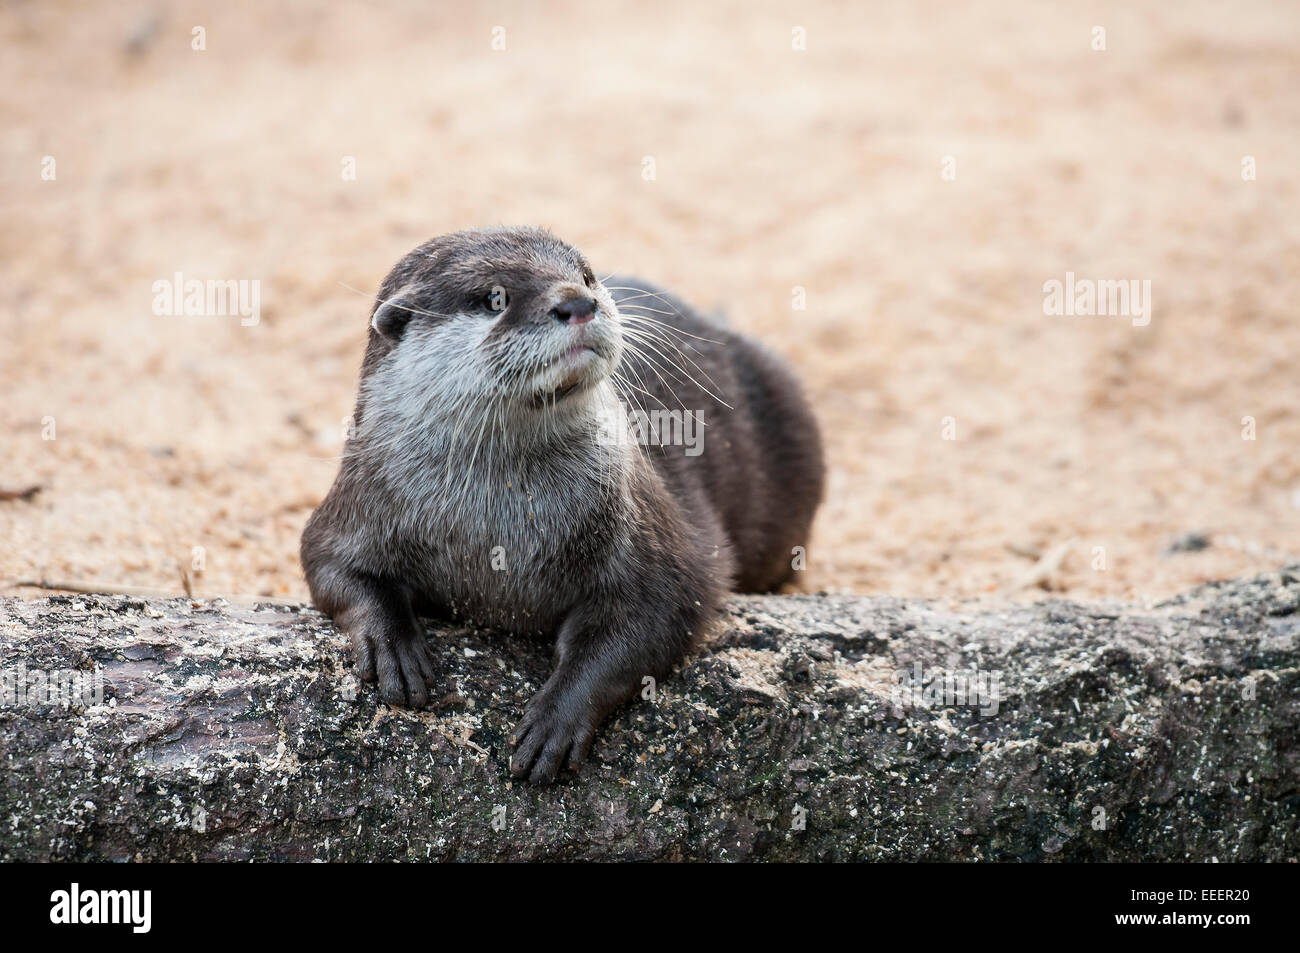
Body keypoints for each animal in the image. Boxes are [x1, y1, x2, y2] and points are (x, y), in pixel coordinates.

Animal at [304, 228, 821, 780]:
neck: (497, 527)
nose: (579, 302)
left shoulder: (653, 538)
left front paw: (557, 717)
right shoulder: (360, 499)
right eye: (494, 298)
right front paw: (393, 646)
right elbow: (329, 565)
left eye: (586, 276)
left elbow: (658, 612)